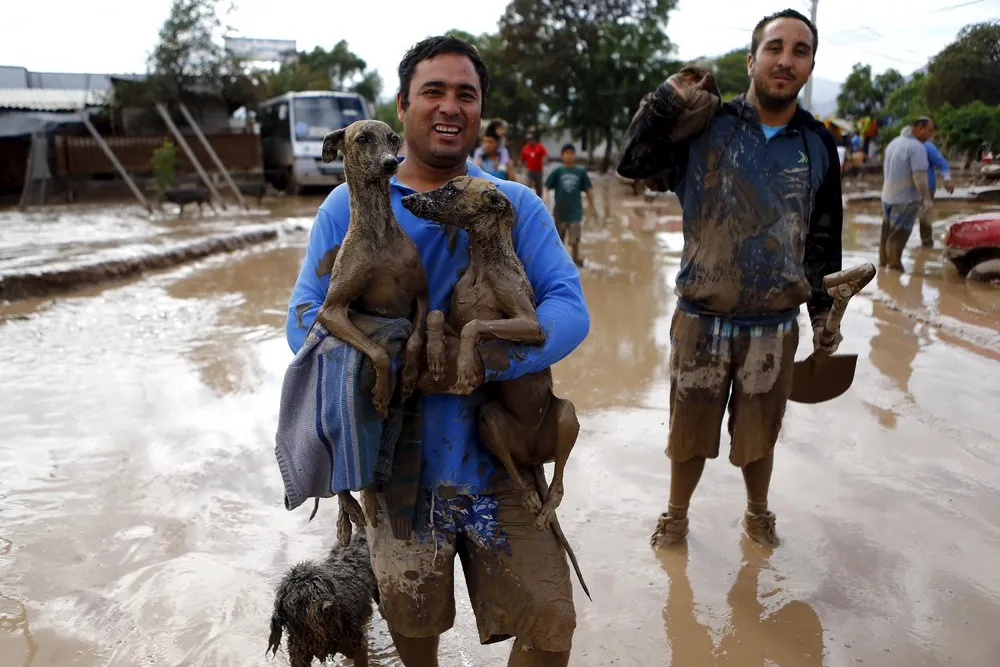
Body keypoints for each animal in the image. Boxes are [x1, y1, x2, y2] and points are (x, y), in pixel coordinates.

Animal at [316, 121, 430, 532]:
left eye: (394, 139)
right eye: (362, 139)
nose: (390, 164)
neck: (379, 232)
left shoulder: (421, 296)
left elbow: (412, 341)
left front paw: (407, 374)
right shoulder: (332, 311)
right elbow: (380, 350)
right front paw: (381, 389)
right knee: (341, 484)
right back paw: (348, 509)